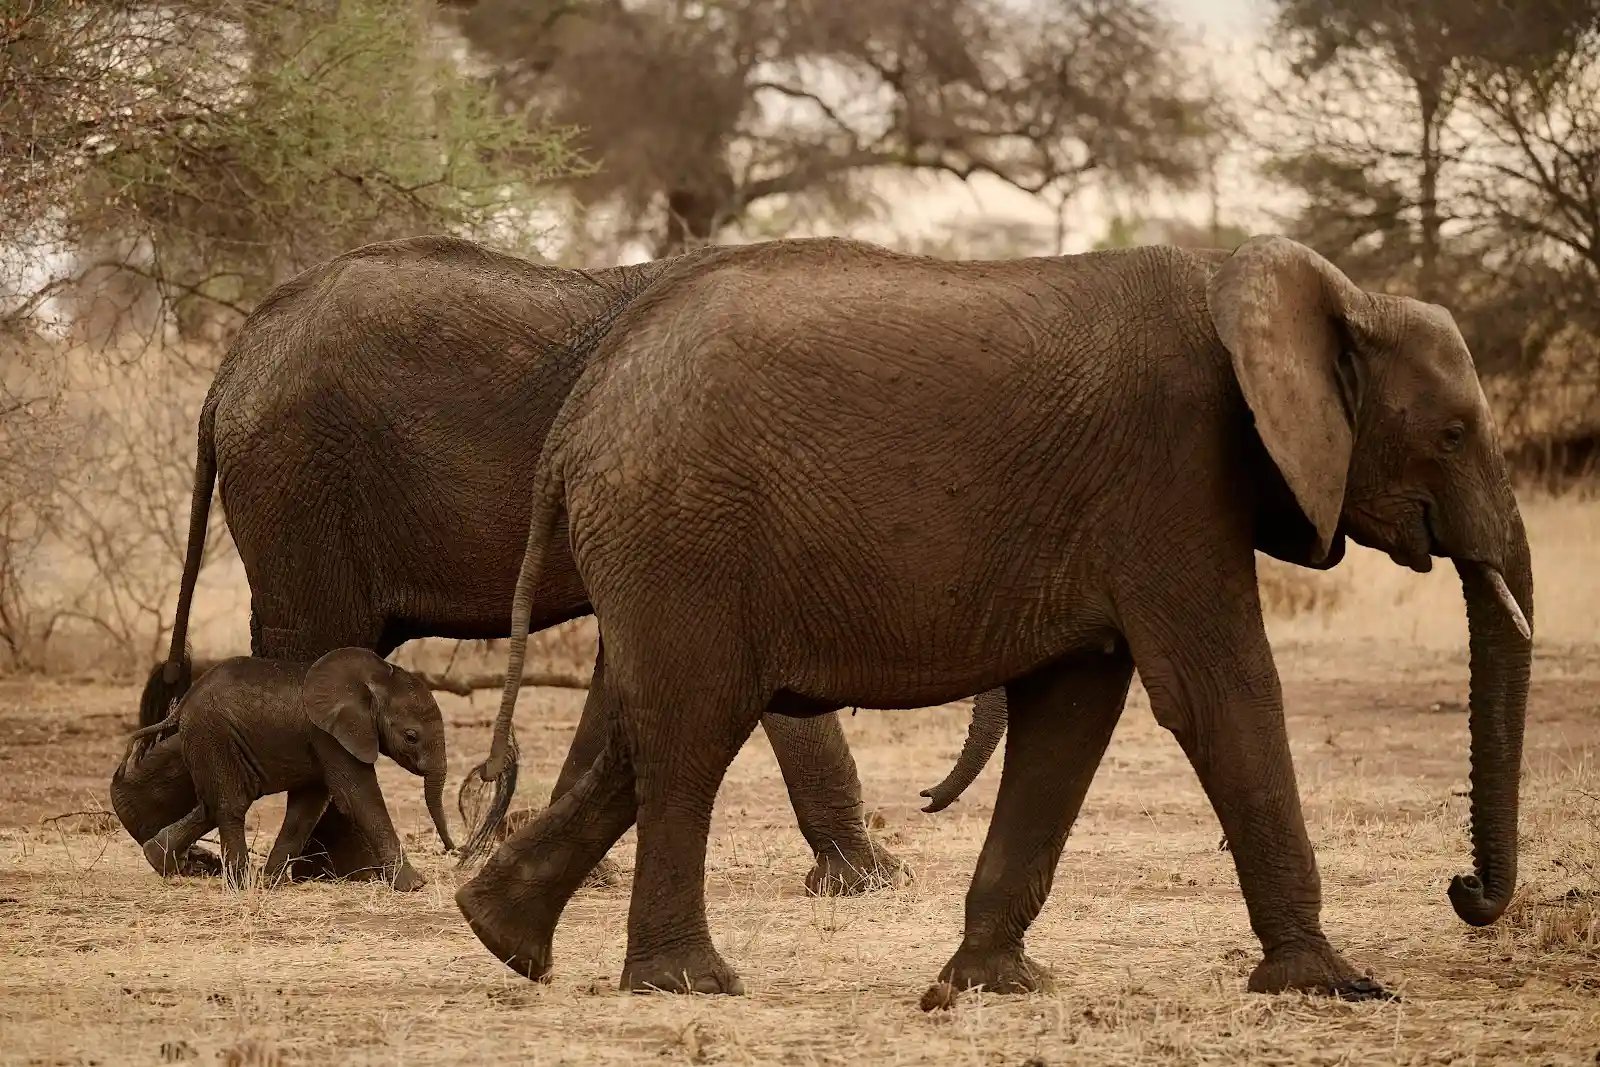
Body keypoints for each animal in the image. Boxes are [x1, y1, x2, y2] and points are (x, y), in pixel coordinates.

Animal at [129, 648, 454, 889]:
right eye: (411, 737)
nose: (452, 849)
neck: (375, 678)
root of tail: (182, 705)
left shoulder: (323, 741)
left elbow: (308, 806)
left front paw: (272, 883)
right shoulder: (329, 735)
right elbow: (359, 797)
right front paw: (414, 885)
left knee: (212, 805)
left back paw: (159, 860)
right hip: (213, 734)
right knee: (232, 804)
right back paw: (240, 884)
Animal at [456, 234, 1533, 1001]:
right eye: (1453, 433)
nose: (1462, 891)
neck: (1304, 293)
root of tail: (580, 407)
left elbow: (1072, 714)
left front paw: (991, 985)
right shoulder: (1173, 478)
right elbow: (1219, 693)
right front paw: (1332, 982)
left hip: (664, 546)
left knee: (650, 730)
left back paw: (501, 938)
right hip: (684, 528)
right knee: (691, 730)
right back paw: (688, 983)